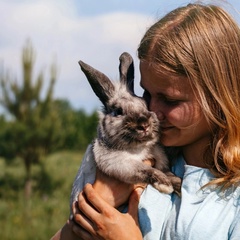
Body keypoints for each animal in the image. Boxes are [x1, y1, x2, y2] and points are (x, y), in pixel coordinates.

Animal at [70, 52, 181, 212]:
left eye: (146, 105)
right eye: (118, 111)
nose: (144, 125)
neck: (138, 148)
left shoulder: (160, 160)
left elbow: (168, 172)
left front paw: (178, 184)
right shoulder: (120, 163)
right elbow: (145, 170)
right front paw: (165, 185)